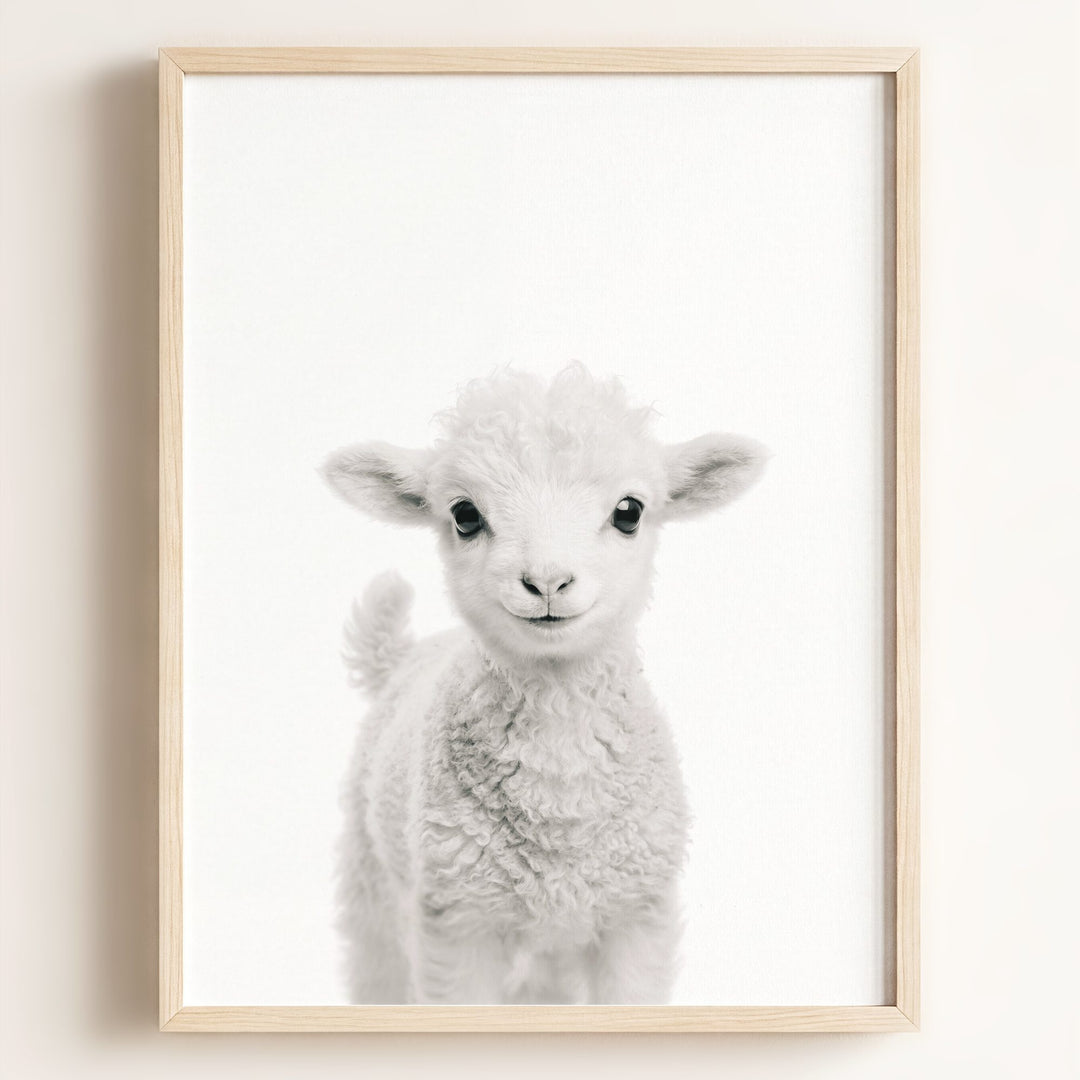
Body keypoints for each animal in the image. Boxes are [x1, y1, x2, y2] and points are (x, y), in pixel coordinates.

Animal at [322, 363, 766, 1004]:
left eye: (629, 511)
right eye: (464, 515)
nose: (548, 581)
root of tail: (403, 655)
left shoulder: (636, 916)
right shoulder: (458, 923)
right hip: (373, 880)